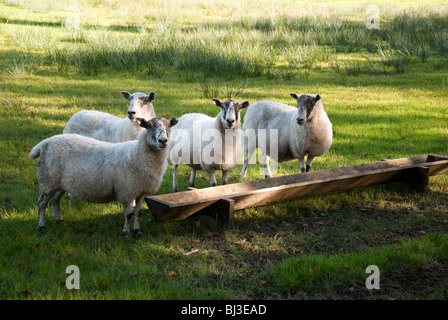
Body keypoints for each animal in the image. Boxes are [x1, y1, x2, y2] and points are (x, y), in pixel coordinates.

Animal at [27, 116, 178, 236]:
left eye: (168, 126)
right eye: (149, 126)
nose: (163, 141)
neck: (136, 154)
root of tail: (45, 142)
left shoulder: (140, 192)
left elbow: (138, 213)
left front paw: (137, 231)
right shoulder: (126, 191)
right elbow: (128, 214)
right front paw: (126, 233)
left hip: (61, 182)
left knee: (55, 200)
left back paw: (59, 220)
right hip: (48, 180)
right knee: (42, 203)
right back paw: (41, 226)